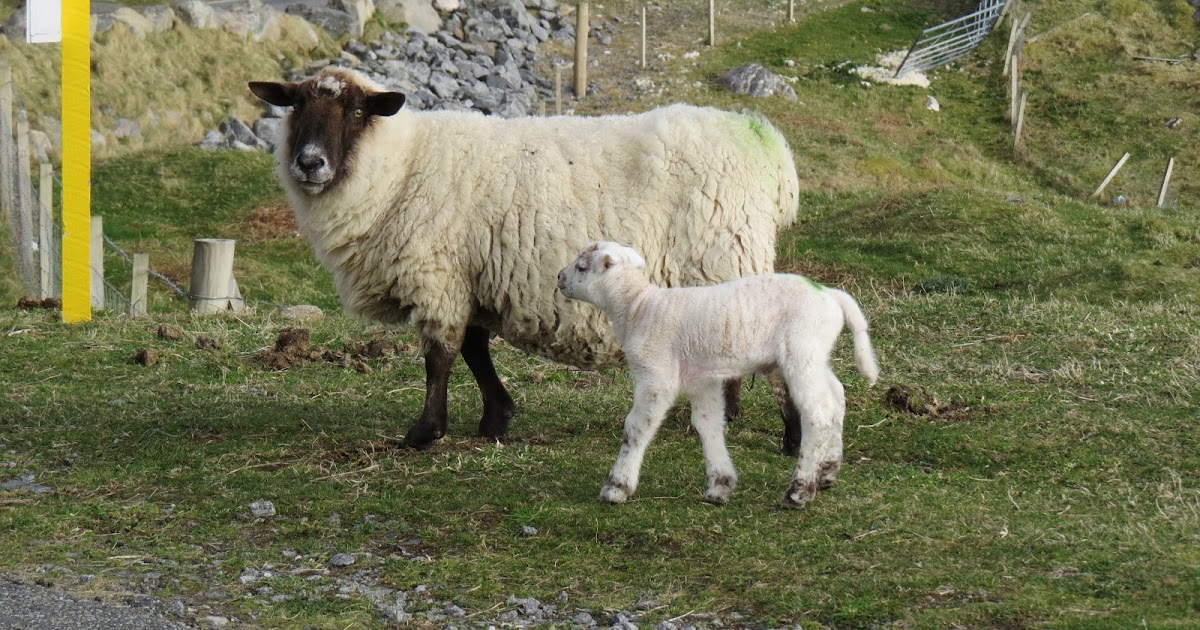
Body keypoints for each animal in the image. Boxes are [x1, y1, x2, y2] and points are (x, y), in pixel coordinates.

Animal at [247, 67, 800, 448]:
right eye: (295, 107)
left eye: (358, 112)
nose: (310, 163)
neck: (398, 168)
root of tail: (771, 151)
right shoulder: (468, 275)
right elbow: (474, 348)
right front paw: (495, 418)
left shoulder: (437, 272)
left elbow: (439, 355)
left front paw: (425, 432)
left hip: (725, 256)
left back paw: (789, 438)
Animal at [556, 241, 879, 508]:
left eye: (582, 266)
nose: (559, 278)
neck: (638, 307)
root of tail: (830, 295)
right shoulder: (702, 378)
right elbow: (707, 423)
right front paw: (720, 486)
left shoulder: (656, 376)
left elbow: (637, 427)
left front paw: (616, 488)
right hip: (815, 354)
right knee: (836, 396)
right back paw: (827, 471)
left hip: (801, 351)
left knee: (818, 413)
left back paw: (799, 491)